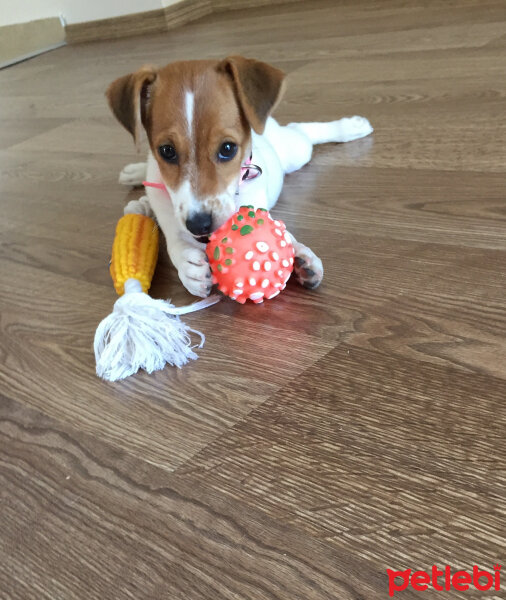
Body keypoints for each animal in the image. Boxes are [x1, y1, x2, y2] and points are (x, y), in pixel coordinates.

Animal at [105, 57, 372, 296]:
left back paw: (351, 127)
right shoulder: (173, 219)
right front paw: (188, 265)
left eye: (228, 149)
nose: (199, 224)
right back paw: (137, 184)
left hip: (295, 152)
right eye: (167, 151)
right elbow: (176, 243)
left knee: (302, 130)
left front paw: (299, 253)